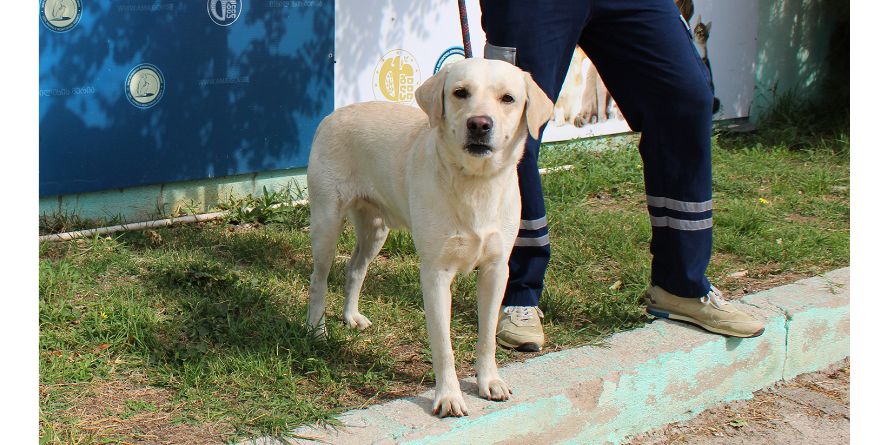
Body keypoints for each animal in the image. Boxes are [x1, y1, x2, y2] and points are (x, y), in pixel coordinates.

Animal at [308, 57, 552, 414]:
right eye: (460, 92)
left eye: (508, 98)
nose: (479, 124)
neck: (474, 183)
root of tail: (334, 114)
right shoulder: (435, 273)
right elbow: (443, 345)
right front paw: (449, 397)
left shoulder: (496, 271)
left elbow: (487, 336)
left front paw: (489, 381)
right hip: (326, 222)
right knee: (319, 279)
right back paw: (317, 331)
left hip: (376, 229)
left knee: (354, 268)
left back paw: (351, 317)